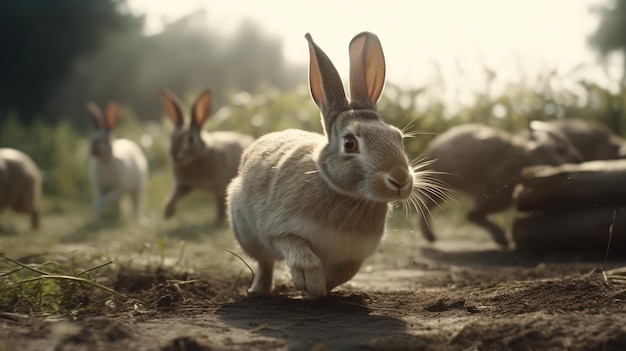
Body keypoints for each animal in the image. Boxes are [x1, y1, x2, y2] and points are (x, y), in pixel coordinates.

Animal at [160, 89, 255, 224]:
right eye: (172, 138)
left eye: (190, 139)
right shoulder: (184, 185)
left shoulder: (220, 186)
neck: (197, 157)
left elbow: (220, 203)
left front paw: (219, 221)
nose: (175, 156)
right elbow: (174, 196)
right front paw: (168, 213)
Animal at [224, 32, 420, 300]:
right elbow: (297, 249)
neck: (346, 193)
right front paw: (311, 283)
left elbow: (345, 272)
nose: (400, 179)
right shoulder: (279, 230)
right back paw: (257, 291)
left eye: (397, 137)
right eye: (349, 143)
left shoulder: (353, 255)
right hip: (245, 230)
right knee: (265, 262)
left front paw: (318, 290)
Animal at [414, 122, 580, 249]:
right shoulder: (495, 197)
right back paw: (430, 236)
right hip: (440, 188)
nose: (578, 159)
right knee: (427, 206)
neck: (527, 158)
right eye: (560, 149)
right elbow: (474, 215)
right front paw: (502, 240)